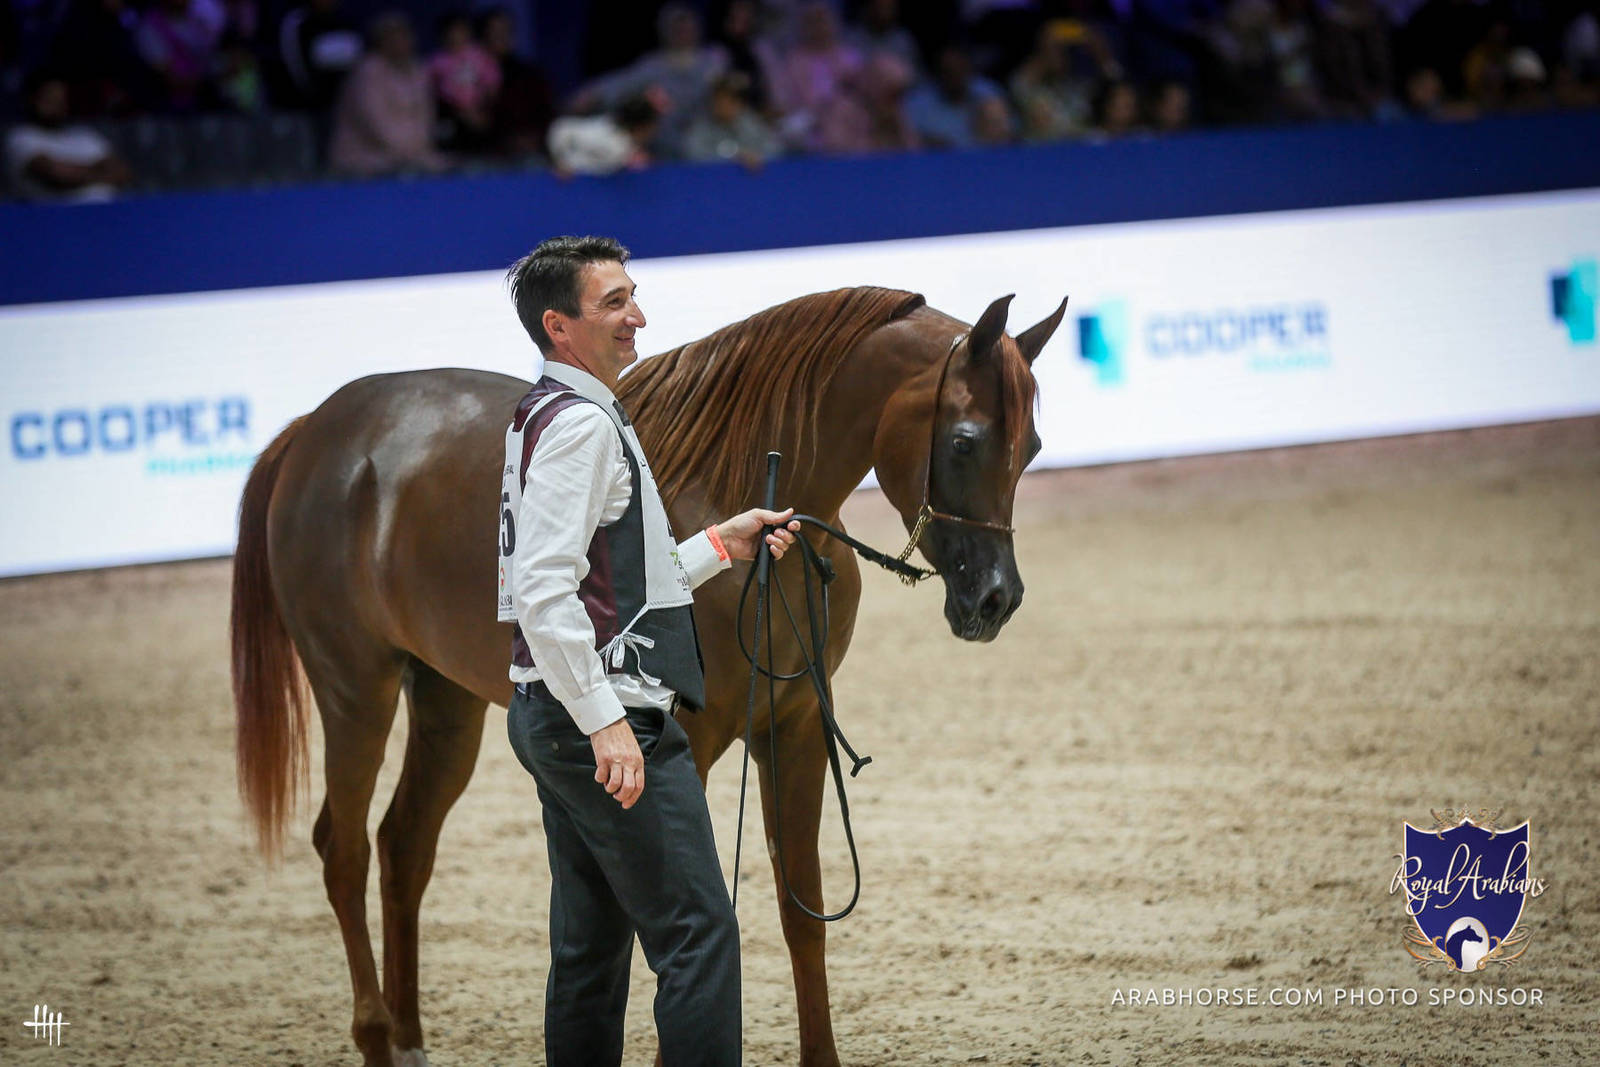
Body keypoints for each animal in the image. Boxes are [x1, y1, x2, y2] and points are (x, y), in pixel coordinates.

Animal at [231, 285, 1066, 1067]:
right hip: (355, 691)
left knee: (403, 845)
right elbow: (677, 928)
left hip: (446, 701)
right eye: (964, 441)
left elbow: (801, 911)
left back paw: (409, 1038)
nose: (997, 599)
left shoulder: (793, 729)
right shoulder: (683, 746)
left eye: (1030, 445)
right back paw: (376, 1034)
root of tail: (317, 430)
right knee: (343, 849)